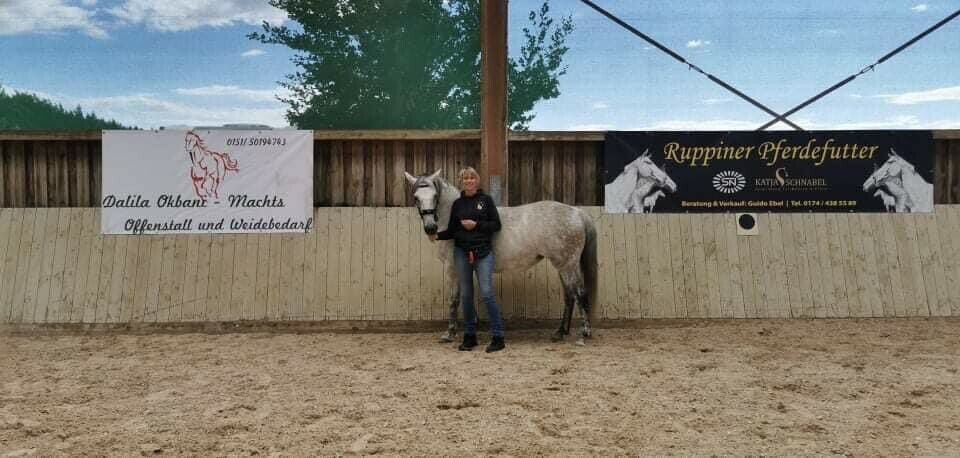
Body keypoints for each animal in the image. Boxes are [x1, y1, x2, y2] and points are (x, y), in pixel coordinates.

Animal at [402, 171, 596, 344]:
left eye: (435, 196)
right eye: (416, 197)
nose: (431, 228)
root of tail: (577, 212)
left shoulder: (453, 269)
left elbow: (454, 299)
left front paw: (449, 334)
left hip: (568, 265)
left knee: (579, 294)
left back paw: (583, 334)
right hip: (563, 266)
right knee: (569, 295)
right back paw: (560, 333)